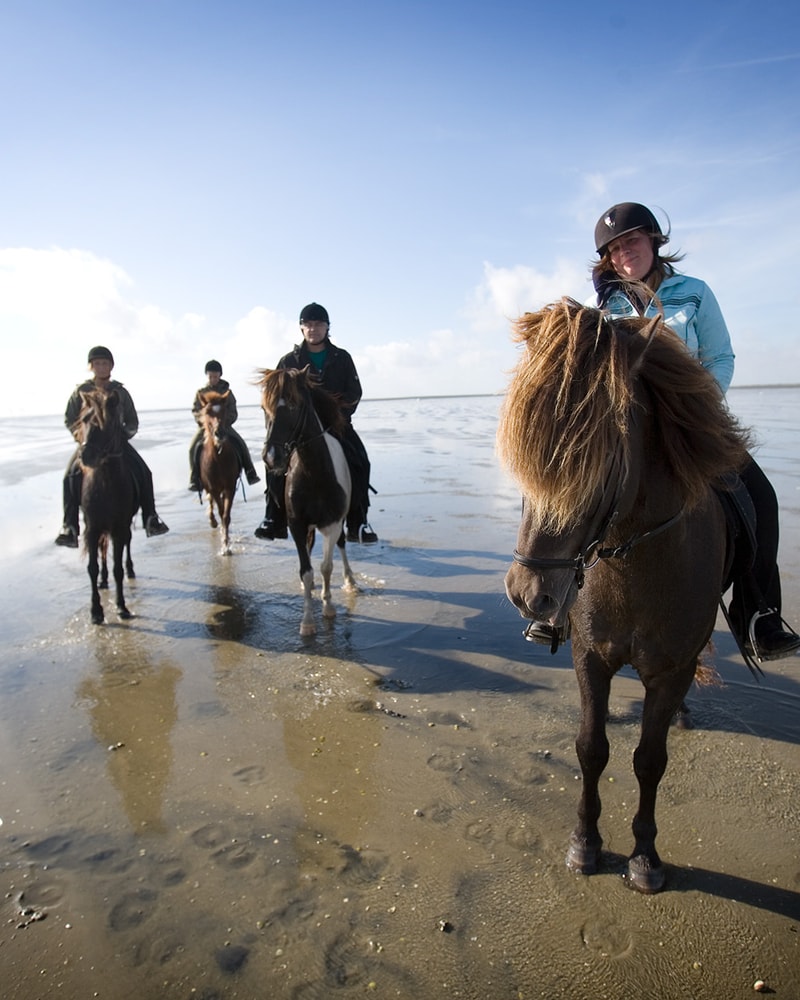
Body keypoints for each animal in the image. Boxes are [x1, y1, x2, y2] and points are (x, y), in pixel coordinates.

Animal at [74, 390, 138, 624]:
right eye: (83, 420)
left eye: (107, 424)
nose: (85, 456)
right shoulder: (92, 529)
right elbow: (92, 568)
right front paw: (96, 612)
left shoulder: (119, 527)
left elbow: (117, 568)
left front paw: (121, 607)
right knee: (102, 550)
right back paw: (103, 580)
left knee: (125, 546)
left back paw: (130, 570)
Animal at [197, 388, 241, 556]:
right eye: (208, 412)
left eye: (224, 411)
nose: (219, 433)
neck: (219, 459)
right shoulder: (214, 488)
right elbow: (220, 510)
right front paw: (224, 544)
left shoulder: (229, 487)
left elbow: (226, 516)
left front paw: (226, 546)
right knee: (210, 502)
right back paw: (212, 521)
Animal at [258, 366, 358, 632]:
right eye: (263, 408)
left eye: (294, 405)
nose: (271, 457)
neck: (314, 473)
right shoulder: (297, 525)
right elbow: (307, 570)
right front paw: (307, 621)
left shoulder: (332, 524)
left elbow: (326, 567)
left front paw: (328, 607)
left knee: (342, 546)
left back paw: (350, 580)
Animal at [496, 296, 752, 892]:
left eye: (602, 457)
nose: (527, 594)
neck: (637, 562)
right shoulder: (590, 657)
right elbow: (591, 749)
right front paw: (585, 844)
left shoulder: (671, 668)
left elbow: (649, 760)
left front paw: (644, 858)